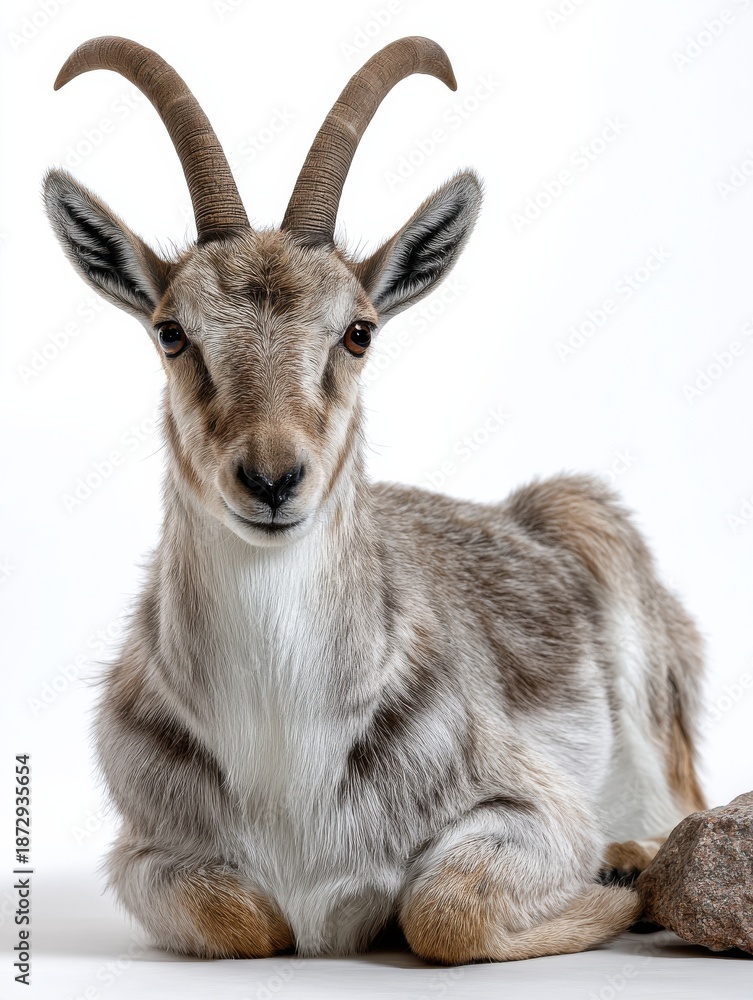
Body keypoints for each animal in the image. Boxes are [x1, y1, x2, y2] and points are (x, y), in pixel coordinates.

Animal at [44, 35, 706, 963]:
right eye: (172, 331)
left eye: (358, 331)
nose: (273, 478)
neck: (285, 756)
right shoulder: (145, 854)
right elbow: (247, 920)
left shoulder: (536, 808)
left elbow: (442, 911)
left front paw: (612, 886)